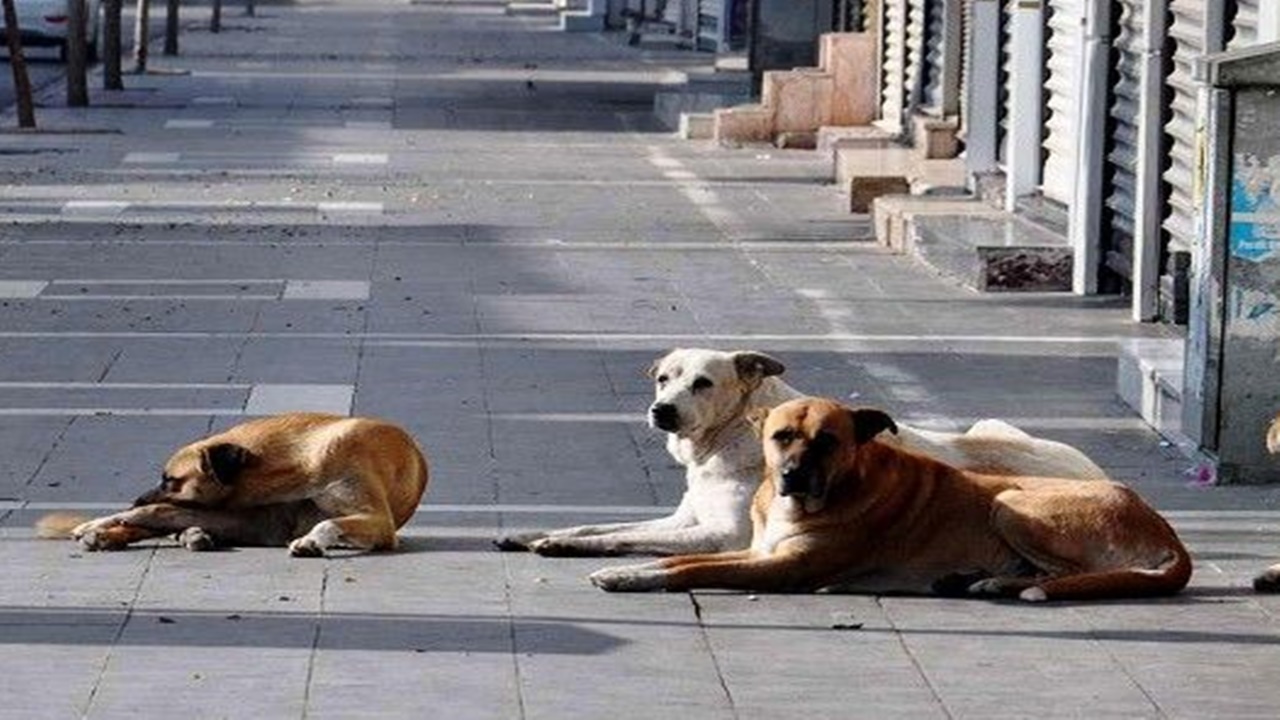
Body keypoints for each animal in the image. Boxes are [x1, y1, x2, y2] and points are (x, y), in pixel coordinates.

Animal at [40, 409, 430, 556]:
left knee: (166, 518)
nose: (135, 498)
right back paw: (103, 531)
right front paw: (102, 521)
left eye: (171, 479)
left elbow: (327, 522)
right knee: (158, 519)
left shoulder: (380, 523)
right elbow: (150, 512)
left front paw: (310, 540)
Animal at [494, 348, 1105, 556]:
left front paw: (562, 547)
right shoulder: (681, 518)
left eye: (703, 383)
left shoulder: (721, 536)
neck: (725, 442)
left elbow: (617, 539)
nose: (661, 410)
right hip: (987, 424)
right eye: (664, 378)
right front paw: (536, 533)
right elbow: (595, 525)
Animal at [593, 394, 1192, 597]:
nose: (793, 475)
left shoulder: (782, 567)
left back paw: (1000, 582)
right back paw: (981, 579)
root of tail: (1165, 530)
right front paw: (627, 569)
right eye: (781, 436)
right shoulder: (756, 549)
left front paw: (630, 578)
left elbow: (692, 569)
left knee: (1068, 575)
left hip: (1011, 503)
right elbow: (675, 559)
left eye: (828, 441)